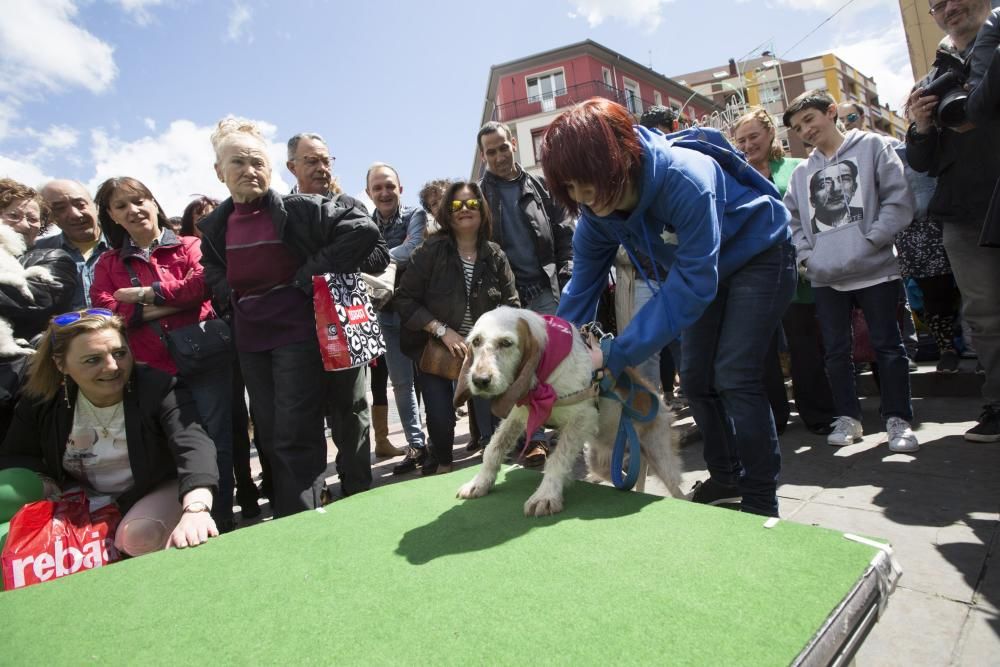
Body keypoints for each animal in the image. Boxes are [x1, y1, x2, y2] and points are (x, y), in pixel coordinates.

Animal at [452, 306, 680, 520]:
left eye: (506, 343)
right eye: (476, 341)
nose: (480, 380)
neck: (546, 372)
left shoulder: (581, 418)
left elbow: (557, 459)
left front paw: (545, 495)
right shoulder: (518, 415)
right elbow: (494, 449)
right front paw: (479, 483)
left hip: (660, 457)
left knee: (678, 490)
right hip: (600, 458)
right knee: (621, 476)